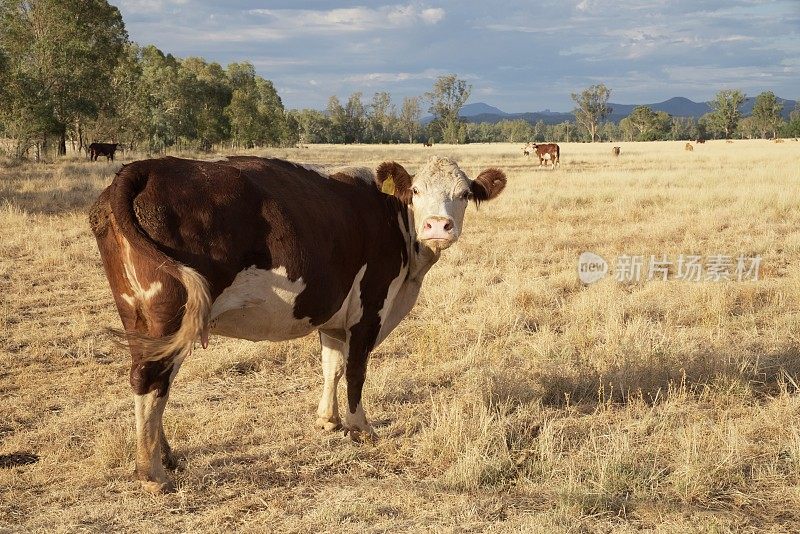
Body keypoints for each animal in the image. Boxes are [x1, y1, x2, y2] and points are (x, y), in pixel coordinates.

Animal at [89, 154, 506, 494]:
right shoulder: (369, 308)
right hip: (169, 315)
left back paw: (165, 457)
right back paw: (152, 473)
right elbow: (356, 371)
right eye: (416, 191)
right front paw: (360, 427)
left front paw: (329, 420)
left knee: (155, 381)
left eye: (464, 194)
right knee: (151, 379)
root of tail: (147, 168)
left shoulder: (334, 317)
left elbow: (332, 366)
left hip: (142, 318)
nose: (438, 225)